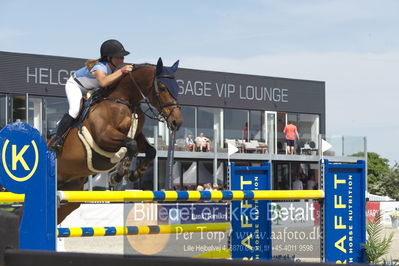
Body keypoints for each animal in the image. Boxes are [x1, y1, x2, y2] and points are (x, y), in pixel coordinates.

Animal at [51, 57, 184, 222]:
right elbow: (131, 145)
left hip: (70, 195)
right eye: (162, 87)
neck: (123, 99)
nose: (177, 122)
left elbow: (150, 150)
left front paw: (133, 174)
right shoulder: (103, 136)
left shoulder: (137, 135)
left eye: (177, 88)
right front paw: (116, 176)